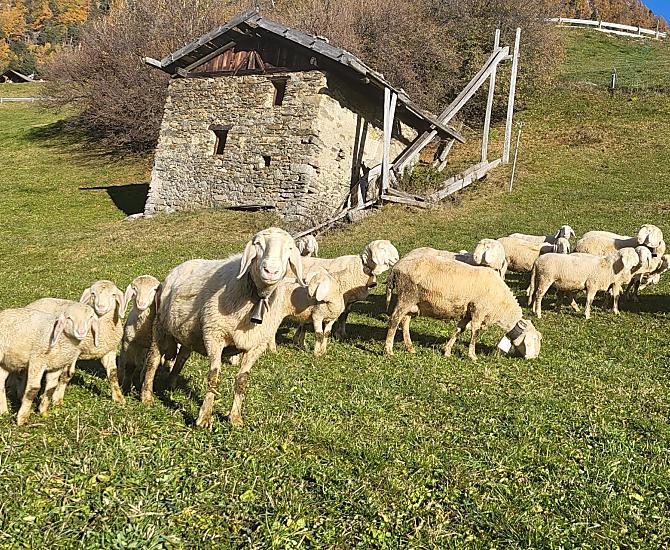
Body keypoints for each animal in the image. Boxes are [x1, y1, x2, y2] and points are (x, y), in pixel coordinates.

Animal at [141, 227, 306, 429]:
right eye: (258, 244)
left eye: (290, 248)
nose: (271, 271)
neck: (255, 295)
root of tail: (177, 268)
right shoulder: (214, 334)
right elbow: (214, 377)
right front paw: (204, 417)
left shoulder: (257, 345)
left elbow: (242, 380)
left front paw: (235, 418)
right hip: (161, 326)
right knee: (153, 359)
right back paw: (146, 396)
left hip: (189, 333)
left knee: (181, 358)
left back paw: (171, 384)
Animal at [384, 255, 542, 360]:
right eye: (534, 340)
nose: (534, 358)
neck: (500, 304)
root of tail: (396, 267)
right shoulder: (479, 310)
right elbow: (475, 332)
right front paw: (472, 356)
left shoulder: (467, 312)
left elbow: (459, 330)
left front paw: (447, 351)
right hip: (406, 297)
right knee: (394, 320)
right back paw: (389, 350)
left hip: (412, 303)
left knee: (404, 322)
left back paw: (410, 348)